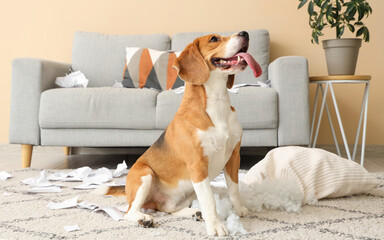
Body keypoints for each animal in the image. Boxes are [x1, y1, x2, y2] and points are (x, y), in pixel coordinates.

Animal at [103, 31, 262, 237]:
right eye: (213, 39)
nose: (245, 33)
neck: (217, 103)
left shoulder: (234, 156)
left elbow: (234, 189)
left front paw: (240, 209)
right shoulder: (198, 166)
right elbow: (209, 201)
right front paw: (216, 226)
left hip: (189, 189)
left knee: (169, 209)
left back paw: (194, 212)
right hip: (145, 175)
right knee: (129, 212)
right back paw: (144, 219)